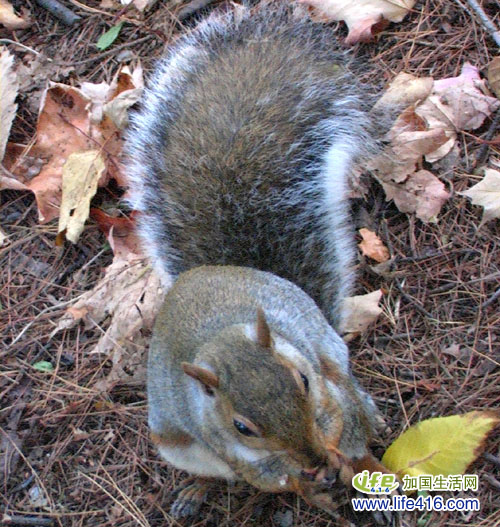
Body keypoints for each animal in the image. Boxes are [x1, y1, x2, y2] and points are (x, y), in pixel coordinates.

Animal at [125, 0, 389, 519]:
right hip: (177, 443)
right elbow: (266, 474)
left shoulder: (325, 383)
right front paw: (306, 481)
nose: (312, 457)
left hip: (334, 354)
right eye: (242, 427)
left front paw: (347, 460)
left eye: (303, 380)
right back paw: (197, 491)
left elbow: (343, 426)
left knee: (358, 411)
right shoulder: (223, 441)